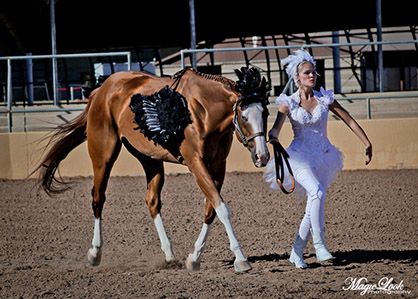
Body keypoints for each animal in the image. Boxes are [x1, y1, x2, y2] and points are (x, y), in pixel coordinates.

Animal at [36, 67, 272, 274]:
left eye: (266, 113)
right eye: (244, 116)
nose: (262, 156)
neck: (202, 111)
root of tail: (100, 91)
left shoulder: (218, 166)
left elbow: (211, 210)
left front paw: (194, 258)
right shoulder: (196, 164)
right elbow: (222, 209)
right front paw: (241, 259)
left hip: (150, 159)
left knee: (152, 201)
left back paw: (169, 255)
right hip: (103, 155)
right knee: (98, 198)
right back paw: (95, 252)